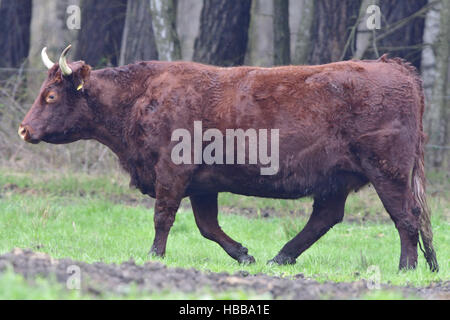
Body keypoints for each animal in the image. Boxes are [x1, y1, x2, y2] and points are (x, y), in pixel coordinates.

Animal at [19, 45, 438, 270]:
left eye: (51, 96)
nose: (24, 129)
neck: (140, 95)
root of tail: (392, 65)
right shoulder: (203, 185)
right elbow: (208, 226)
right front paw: (244, 255)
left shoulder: (171, 173)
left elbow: (163, 217)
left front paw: (154, 256)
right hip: (336, 180)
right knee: (326, 217)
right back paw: (279, 258)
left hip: (388, 173)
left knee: (405, 217)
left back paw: (405, 267)